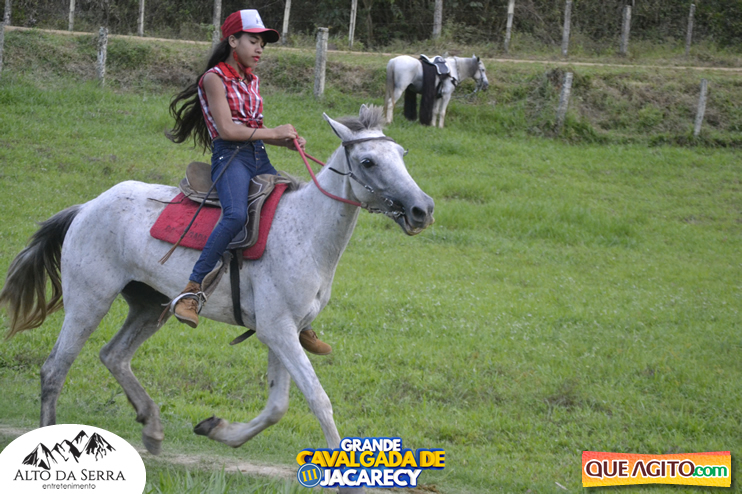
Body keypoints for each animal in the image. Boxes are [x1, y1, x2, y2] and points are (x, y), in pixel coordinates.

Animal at [0, 105, 434, 493]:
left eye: (401, 156)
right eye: (368, 161)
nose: (422, 209)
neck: (306, 231)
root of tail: (86, 207)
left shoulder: (282, 332)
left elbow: (276, 407)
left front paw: (218, 430)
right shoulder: (279, 331)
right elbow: (318, 399)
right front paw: (349, 482)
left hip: (150, 306)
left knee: (114, 355)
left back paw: (152, 426)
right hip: (89, 301)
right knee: (55, 369)